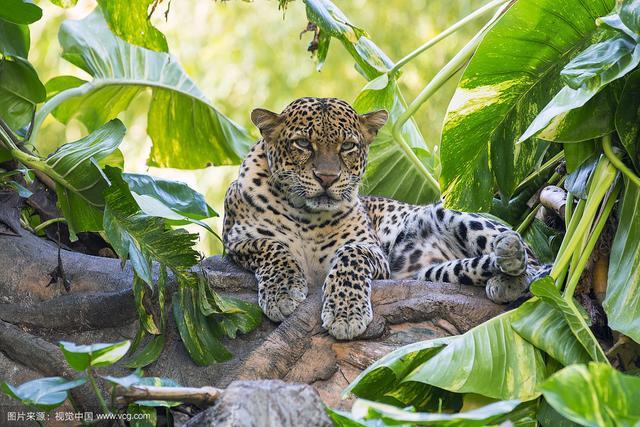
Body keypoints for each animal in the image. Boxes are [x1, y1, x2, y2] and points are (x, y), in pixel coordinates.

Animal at [221, 97, 552, 342]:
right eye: (302, 143)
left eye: (347, 146)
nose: (327, 178)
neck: (305, 215)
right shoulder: (236, 241)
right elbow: (272, 247)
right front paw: (282, 292)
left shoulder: (371, 250)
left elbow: (350, 256)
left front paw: (346, 313)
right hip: (428, 276)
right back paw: (502, 275)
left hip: (449, 213)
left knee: (535, 266)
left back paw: (510, 263)